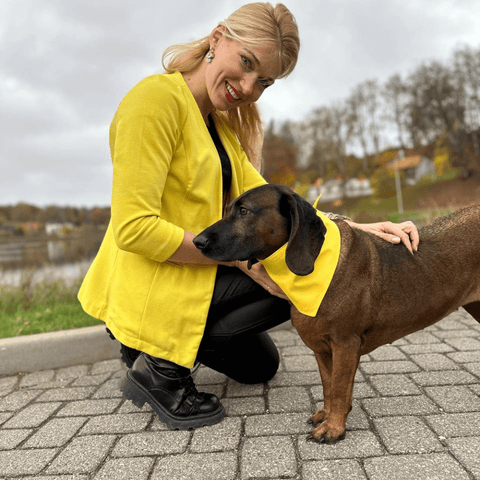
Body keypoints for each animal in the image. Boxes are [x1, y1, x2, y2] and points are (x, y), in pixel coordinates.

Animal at [194, 183, 480, 442]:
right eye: (228, 209)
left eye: (244, 211)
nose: (197, 241)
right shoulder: (322, 348)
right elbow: (329, 386)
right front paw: (330, 415)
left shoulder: (345, 343)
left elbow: (340, 388)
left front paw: (333, 429)